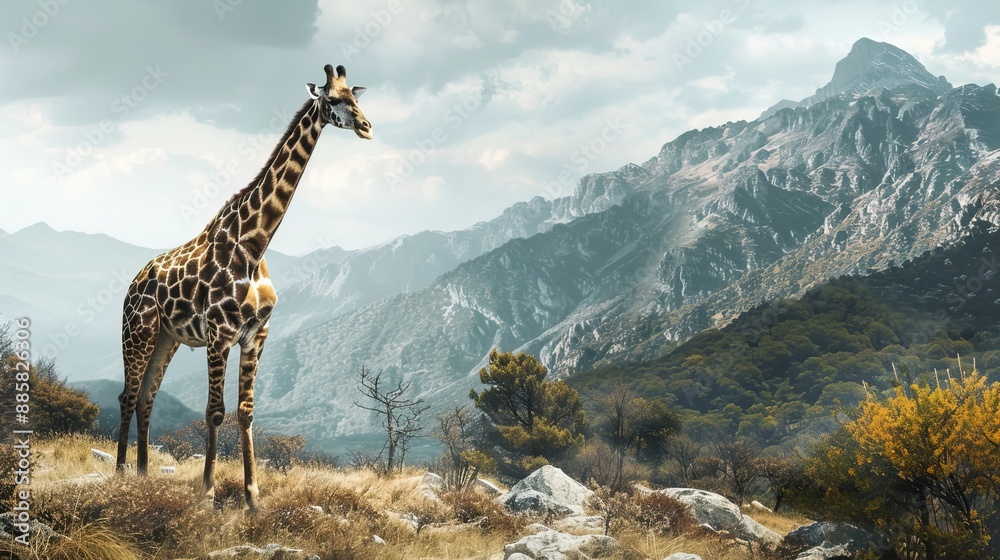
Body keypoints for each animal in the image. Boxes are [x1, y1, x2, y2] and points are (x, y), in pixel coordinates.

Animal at [116, 64, 371, 511]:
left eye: (354, 97)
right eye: (333, 99)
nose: (366, 126)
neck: (254, 243)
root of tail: (132, 285)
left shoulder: (257, 333)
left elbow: (246, 411)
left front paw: (254, 498)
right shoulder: (220, 334)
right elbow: (215, 411)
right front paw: (207, 494)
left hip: (167, 338)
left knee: (146, 397)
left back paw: (145, 478)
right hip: (139, 332)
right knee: (127, 397)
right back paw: (118, 477)